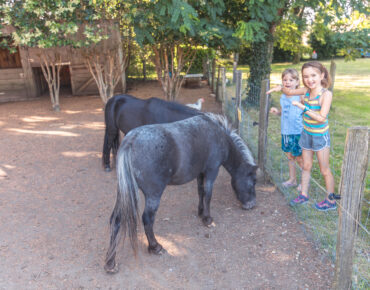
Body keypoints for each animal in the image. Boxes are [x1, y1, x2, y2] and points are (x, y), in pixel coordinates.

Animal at [105, 114, 258, 274]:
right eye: (254, 181)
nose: (252, 204)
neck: (219, 135)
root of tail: (130, 142)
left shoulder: (200, 173)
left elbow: (201, 192)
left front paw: (200, 212)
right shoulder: (211, 171)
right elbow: (208, 195)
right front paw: (208, 219)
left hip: (124, 193)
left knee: (116, 220)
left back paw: (110, 263)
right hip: (153, 195)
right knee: (147, 219)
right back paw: (155, 247)